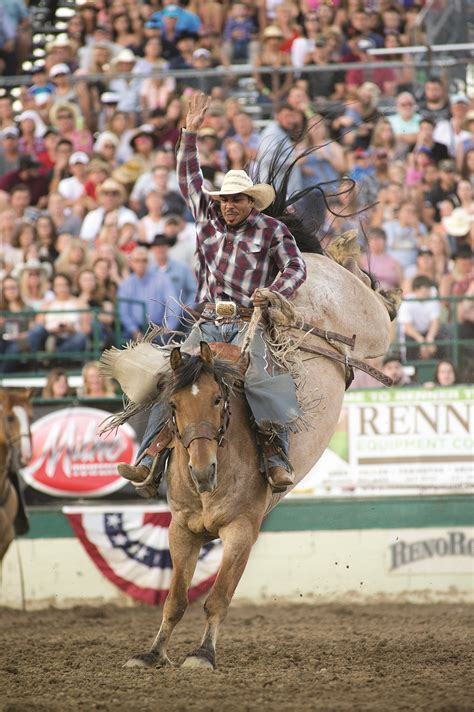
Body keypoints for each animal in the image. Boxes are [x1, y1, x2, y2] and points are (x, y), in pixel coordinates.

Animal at [120, 253, 394, 672]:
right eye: (172, 405)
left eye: (219, 400)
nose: (202, 470)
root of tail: (314, 258)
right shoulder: (181, 529)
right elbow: (176, 599)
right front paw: (152, 652)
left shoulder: (242, 531)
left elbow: (217, 598)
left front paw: (203, 653)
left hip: (371, 325)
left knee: (378, 305)